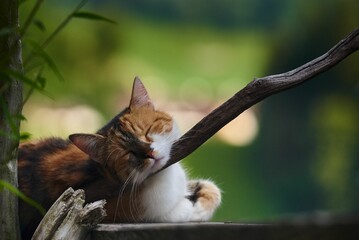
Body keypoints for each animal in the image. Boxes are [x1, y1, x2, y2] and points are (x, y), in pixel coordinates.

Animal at [19, 78, 224, 239]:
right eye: (128, 153)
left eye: (147, 132)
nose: (149, 153)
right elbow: (167, 212)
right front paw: (188, 207)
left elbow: (212, 190)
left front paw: (201, 200)